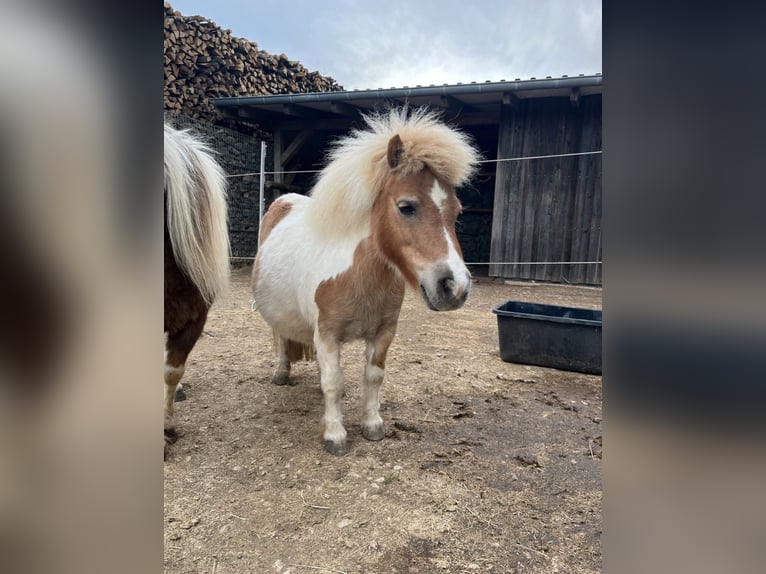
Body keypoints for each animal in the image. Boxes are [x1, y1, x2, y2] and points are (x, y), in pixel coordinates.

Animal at [252, 107, 480, 455]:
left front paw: (372, 425)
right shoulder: (328, 334)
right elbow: (334, 383)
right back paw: (281, 372)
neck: (359, 276)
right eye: (406, 206)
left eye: (456, 213)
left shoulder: (383, 333)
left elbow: (372, 377)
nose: (456, 287)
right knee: (280, 337)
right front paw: (335, 435)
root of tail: (284, 201)